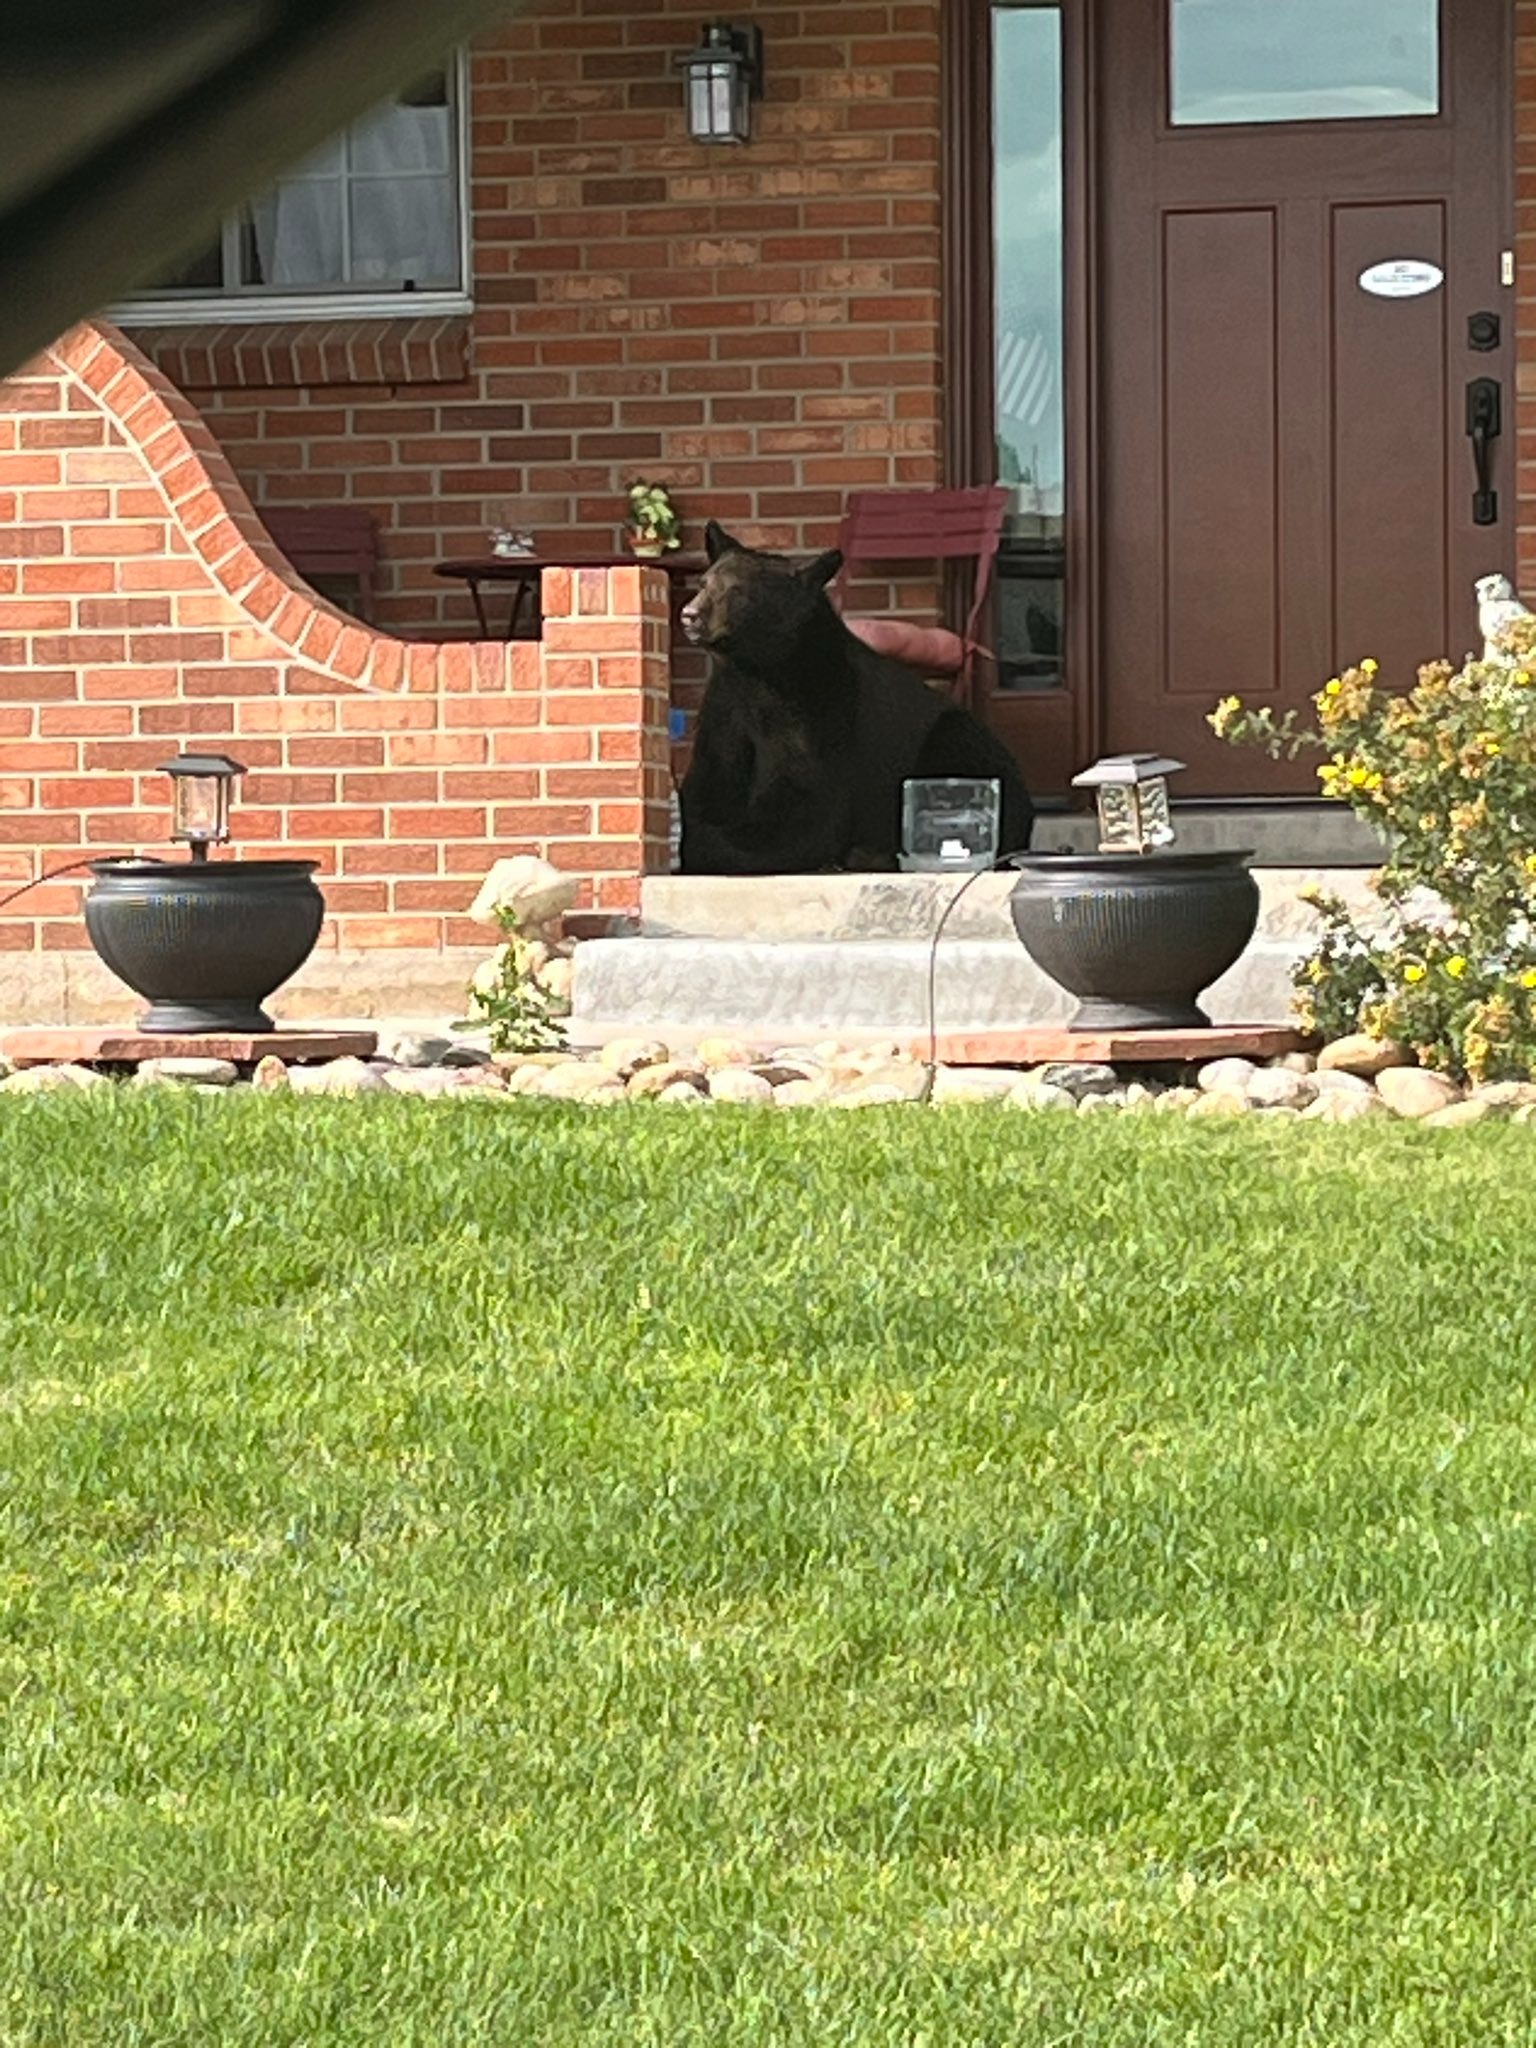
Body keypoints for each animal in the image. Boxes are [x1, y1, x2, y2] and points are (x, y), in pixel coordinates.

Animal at [675, 520, 1028, 872]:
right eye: (704, 582)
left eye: (738, 591)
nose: (690, 614)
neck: (759, 666)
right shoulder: (726, 708)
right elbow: (711, 782)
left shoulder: (824, 710)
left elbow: (808, 812)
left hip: (958, 740)